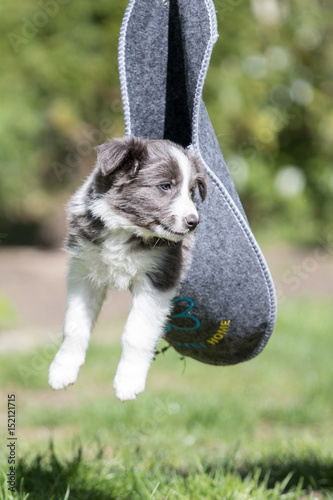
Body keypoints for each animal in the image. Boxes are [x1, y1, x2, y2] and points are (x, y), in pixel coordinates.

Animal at [48, 137, 206, 402]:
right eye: (165, 186)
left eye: (192, 191)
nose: (194, 222)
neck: (125, 228)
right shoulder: (83, 271)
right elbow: (74, 325)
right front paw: (62, 369)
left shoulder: (158, 279)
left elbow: (136, 333)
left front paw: (128, 381)